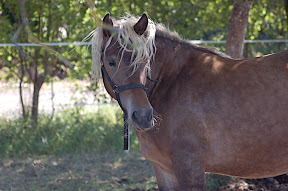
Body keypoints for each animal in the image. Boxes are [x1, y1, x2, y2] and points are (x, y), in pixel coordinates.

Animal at [89, 12, 288, 190]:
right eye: (111, 62)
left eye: (145, 61)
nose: (143, 116)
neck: (172, 82)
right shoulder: (164, 169)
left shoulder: (189, 167)